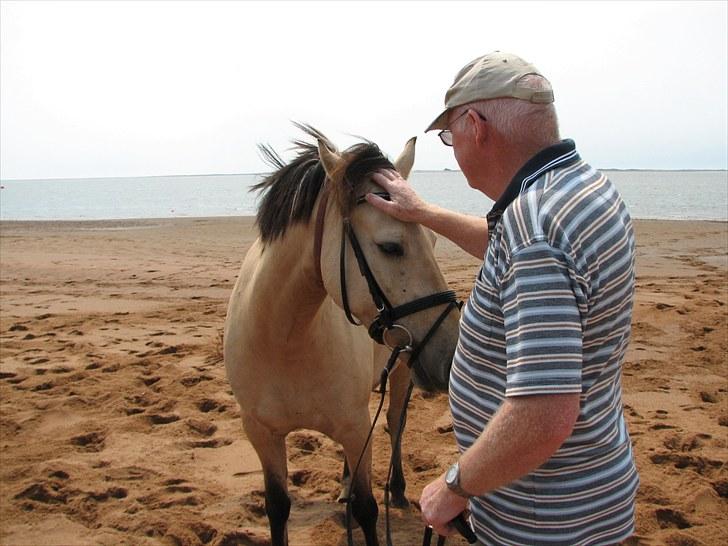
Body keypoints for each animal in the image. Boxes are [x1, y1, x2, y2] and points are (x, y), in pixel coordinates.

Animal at [223, 125, 460, 546]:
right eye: (390, 246)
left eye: (432, 241)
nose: (449, 354)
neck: (286, 341)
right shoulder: (262, 434)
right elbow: (277, 508)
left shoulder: (354, 426)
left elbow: (367, 509)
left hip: (402, 373)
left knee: (395, 423)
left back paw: (397, 489)